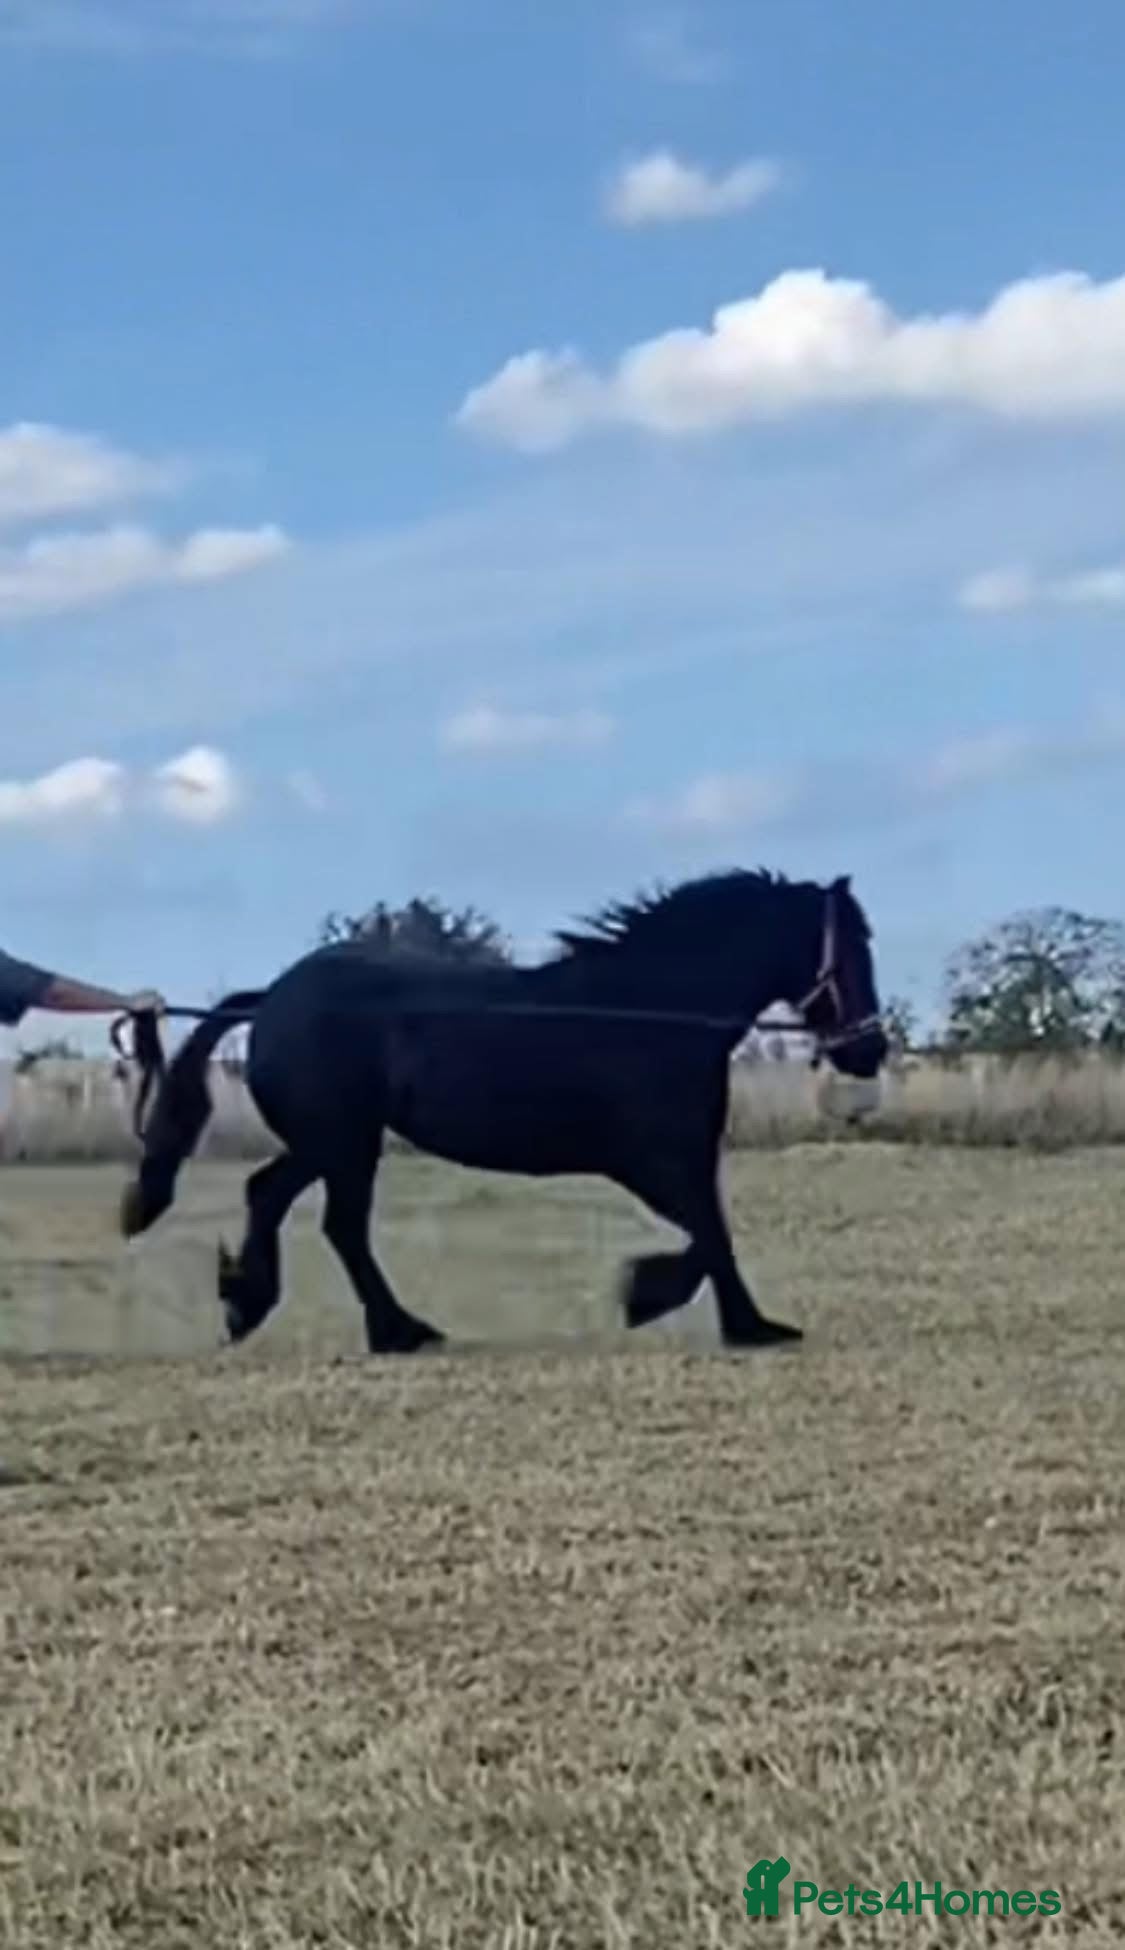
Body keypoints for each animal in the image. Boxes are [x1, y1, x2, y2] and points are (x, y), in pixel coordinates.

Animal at [119, 869, 888, 1354]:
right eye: (852, 948)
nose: (870, 1051)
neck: (648, 1011)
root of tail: (275, 997)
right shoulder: (651, 1158)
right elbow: (707, 1236)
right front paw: (656, 1299)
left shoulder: (683, 1157)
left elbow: (713, 1233)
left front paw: (741, 1322)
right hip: (342, 1141)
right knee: (325, 1219)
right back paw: (387, 1329)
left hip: (337, 1143)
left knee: (286, 1202)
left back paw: (278, 1308)